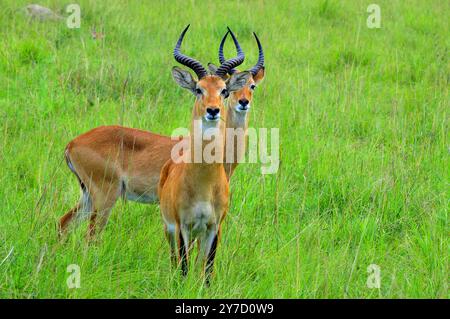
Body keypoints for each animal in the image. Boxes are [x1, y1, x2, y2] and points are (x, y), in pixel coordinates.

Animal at [57, 27, 262, 238]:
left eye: (224, 90)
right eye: (199, 89)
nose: (213, 110)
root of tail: (72, 144)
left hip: (88, 197)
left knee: (63, 223)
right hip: (105, 197)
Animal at [157, 25, 250, 282]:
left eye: (224, 90)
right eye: (198, 89)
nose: (213, 110)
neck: (204, 183)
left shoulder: (213, 226)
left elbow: (207, 271)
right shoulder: (182, 226)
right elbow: (184, 269)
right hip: (170, 229)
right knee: (174, 260)